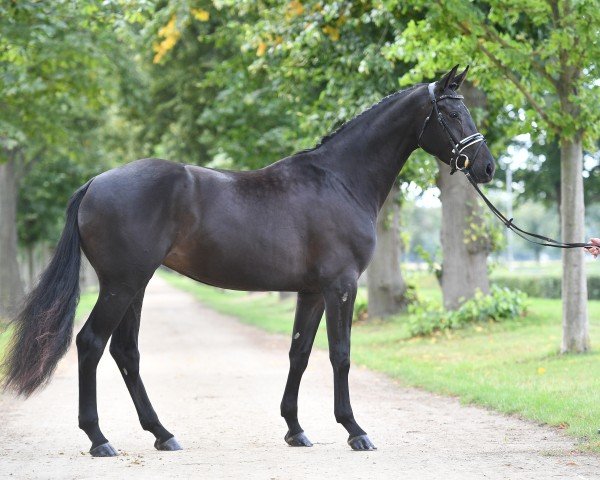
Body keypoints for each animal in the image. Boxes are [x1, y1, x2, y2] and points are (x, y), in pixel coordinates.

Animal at [2, 65, 494, 456]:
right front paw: (355, 430)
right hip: (121, 285)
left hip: (135, 286)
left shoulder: (312, 292)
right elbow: (340, 354)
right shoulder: (341, 286)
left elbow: (300, 353)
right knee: (91, 344)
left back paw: (162, 434)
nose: (486, 167)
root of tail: (94, 183)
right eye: (452, 114)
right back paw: (99, 439)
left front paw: (295, 429)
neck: (339, 180)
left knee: (126, 351)